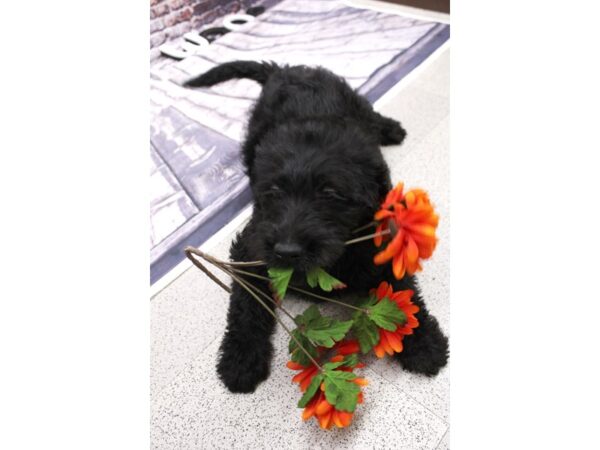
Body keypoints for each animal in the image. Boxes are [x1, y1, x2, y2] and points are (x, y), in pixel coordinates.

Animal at [185, 61, 448, 392]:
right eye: (273, 191)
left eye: (331, 194)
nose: (286, 251)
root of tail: (286, 69)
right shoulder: (251, 245)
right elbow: (246, 303)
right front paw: (240, 360)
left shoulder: (380, 241)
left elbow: (402, 295)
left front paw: (425, 344)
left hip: (354, 100)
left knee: (372, 116)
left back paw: (392, 129)